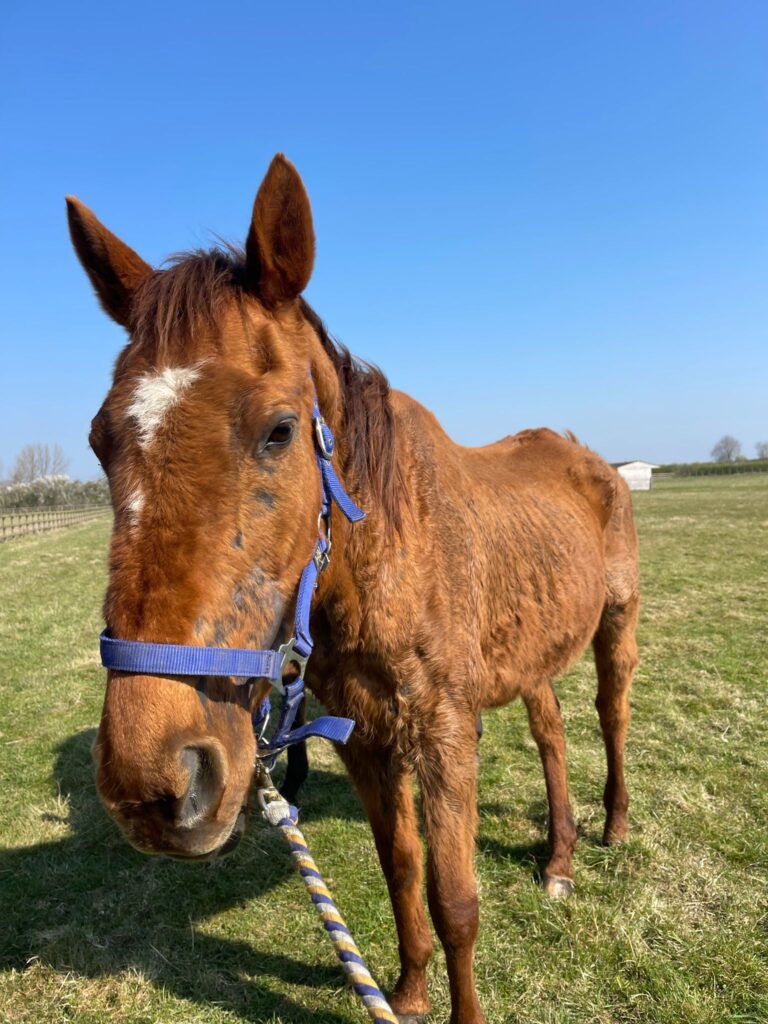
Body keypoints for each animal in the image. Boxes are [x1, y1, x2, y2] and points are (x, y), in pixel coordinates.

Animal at [66, 154, 639, 1024]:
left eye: (279, 430)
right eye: (102, 439)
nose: (151, 784)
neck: (383, 561)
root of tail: (592, 460)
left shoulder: (444, 738)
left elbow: (455, 899)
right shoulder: (366, 741)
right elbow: (401, 869)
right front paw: (404, 993)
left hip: (616, 626)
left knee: (610, 716)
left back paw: (610, 827)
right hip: (529, 655)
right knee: (552, 735)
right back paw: (559, 859)